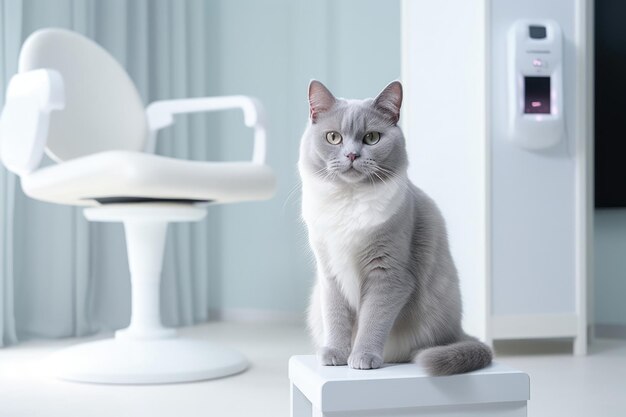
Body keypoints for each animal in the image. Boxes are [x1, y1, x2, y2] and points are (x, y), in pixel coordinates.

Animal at [298, 79, 492, 374]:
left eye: (371, 138)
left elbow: (373, 321)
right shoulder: (330, 271)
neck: (349, 200)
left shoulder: (388, 274)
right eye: (333, 137)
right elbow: (335, 316)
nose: (352, 154)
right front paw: (335, 354)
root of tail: (459, 332)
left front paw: (363, 357)